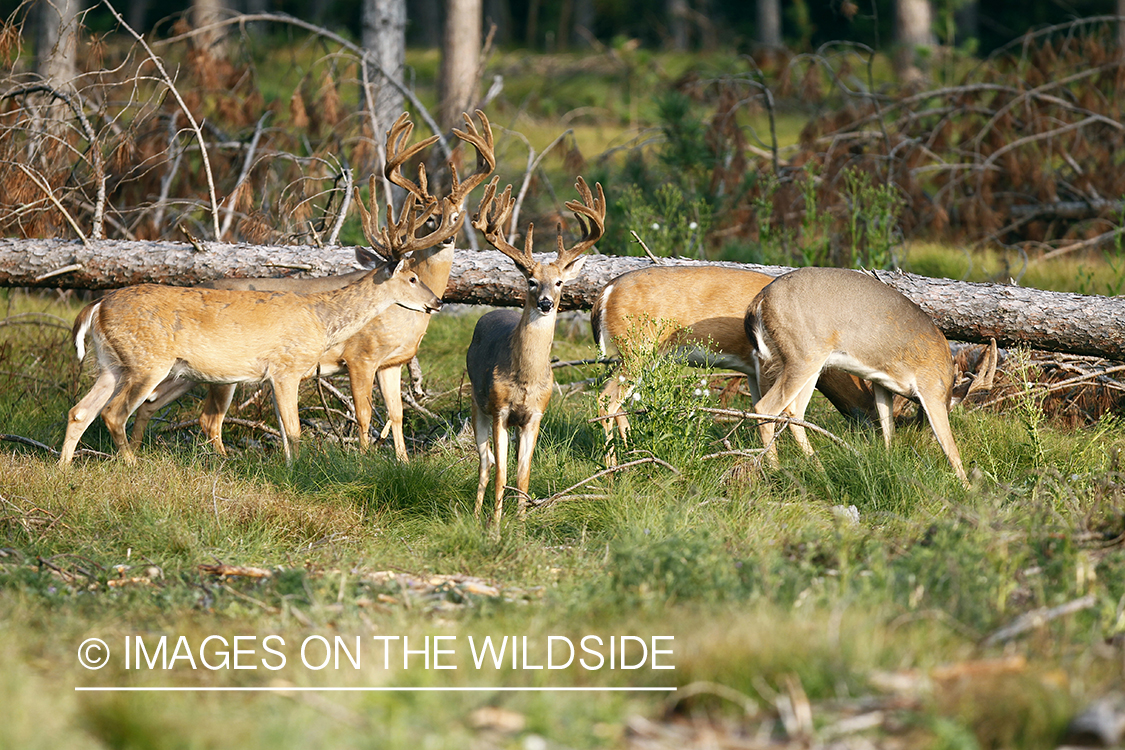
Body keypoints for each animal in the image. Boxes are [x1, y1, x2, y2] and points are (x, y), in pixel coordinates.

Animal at [58, 186, 443, 465]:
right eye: (412, 278)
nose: (436, 302)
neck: (321, 318)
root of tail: (97, 305)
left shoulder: (273, 375)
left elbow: (285, 432)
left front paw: (287, 467)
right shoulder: (288, 368)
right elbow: (295, 430)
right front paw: (298, 471)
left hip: (114, 363)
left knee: (80, 411)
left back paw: (64, 468)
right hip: (148, 361)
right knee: (113, 413)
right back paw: (131, 464)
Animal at [126, 110, 492, 463]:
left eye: (457, 215)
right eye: (429, 218)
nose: (448, 237)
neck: (406, 317)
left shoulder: (392, 363)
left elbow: (397, 414)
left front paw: (402, 462)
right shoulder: (360, 357)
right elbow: (363, 413)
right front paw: (364, 459)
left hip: (188, 370)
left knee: (151, 403)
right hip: (222, 370)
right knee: (207, 419)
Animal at [465, 176, 607, 528]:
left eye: (559, 282)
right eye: (530, 280)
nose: (545, 302)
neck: (526, 379)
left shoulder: (535, 414)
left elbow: (523, 474)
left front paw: (519, 524)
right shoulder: (500, 409)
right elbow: (501, 474)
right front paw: (495, 527)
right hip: (476, 403)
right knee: (484, 464)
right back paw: (475, 515)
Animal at [742, 269, 972, 488]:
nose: (924, 443)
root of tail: (760, 299)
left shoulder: (881, 382)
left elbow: (888, 430)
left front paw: (889, 461)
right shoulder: (931, 386)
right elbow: (951, 448)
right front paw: (968, 488)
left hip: (809, 364)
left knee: (794, 412)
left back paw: (819, 470)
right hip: (803, 355)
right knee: (765, 407)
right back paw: (775, 472)